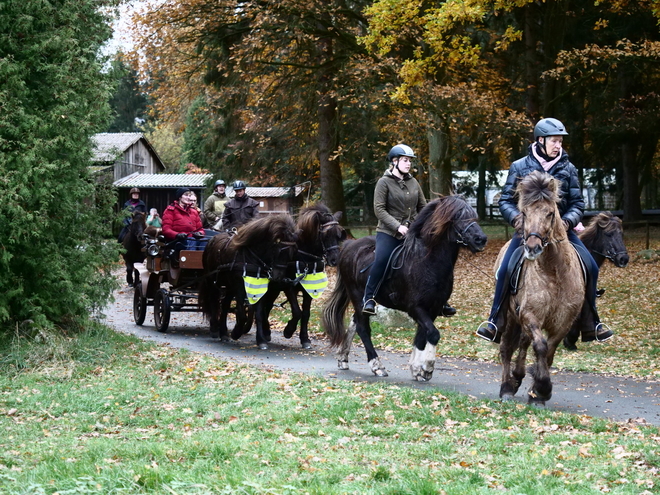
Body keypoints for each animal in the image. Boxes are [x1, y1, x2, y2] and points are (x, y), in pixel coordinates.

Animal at [197, 215, 298, 350]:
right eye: (279, 250)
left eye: (293, 252)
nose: (279, 278)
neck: (252, 258)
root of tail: (211, 240)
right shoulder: (239, 286)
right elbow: (241, 313)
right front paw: (236, 332)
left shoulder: (259, 286)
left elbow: (258, 314)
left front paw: (261, 340)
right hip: (212, 281)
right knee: (214, 302)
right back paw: (214, 329)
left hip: (229, 287)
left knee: (224, 305)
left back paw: (224, 333)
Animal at [255, 203, 348, 350]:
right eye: (325, 235)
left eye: (339, 235)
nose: (335, 260)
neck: (303, 257)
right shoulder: (288, 286)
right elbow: (297, 311)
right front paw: (288, 330)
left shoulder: (309, 289)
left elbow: (305, 313)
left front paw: (305, 339)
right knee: (262, 307)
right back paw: (262, 335)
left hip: (274, 288)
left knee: (267, 306)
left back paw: (266, 332)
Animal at [322, 196, 488, 382]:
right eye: (457, 218)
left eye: (473, 215)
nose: (481, 239)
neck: (427, 261)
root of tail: (349, 246)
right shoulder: (416, 308)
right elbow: (433, 334)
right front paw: (427, 367)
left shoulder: (433, 309)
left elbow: (422, 337)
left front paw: (416, 369)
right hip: (358, 297)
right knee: (362, 328)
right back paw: (377, 366)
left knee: (355, 322)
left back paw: (343, 358)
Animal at [498, 170, 584, 406]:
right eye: (524, 213)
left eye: (550, 213)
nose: (532, 248)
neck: (554, 272)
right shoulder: (530, 315)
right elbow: (541, 346)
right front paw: (542, 388)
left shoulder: (564, 322)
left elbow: (550, 351)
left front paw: (536, 390)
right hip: (509, 316)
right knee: (507, 348)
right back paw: (506, 387)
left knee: (523, 343)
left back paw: (518, 378)